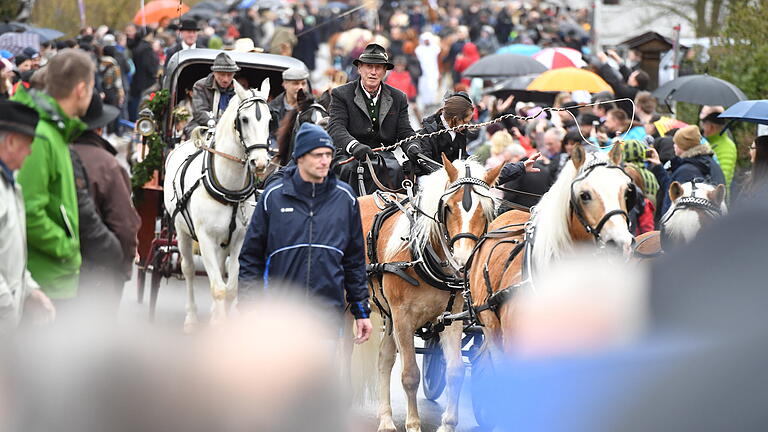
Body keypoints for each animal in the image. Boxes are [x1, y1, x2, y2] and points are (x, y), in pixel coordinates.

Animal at [162, 78, 272, 330]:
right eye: (244, 119)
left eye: (270, 119)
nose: (260, 163)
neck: (228, 187)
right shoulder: (205, 238)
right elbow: (218, 289)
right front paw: (216, 323)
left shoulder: (240, 238)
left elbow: (230, 288)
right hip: (182, 231)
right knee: (188, 269)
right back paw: (191, 317)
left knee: (221, 270)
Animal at [354, 155, 504, 432]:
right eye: (448, 208)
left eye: (486, 210)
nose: (463, 261)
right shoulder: (403, 317)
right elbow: (410, 374)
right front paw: (413, 424)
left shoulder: (451, 317)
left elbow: (455, 371)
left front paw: (448, 424)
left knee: (384, 358)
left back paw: (386, 419)